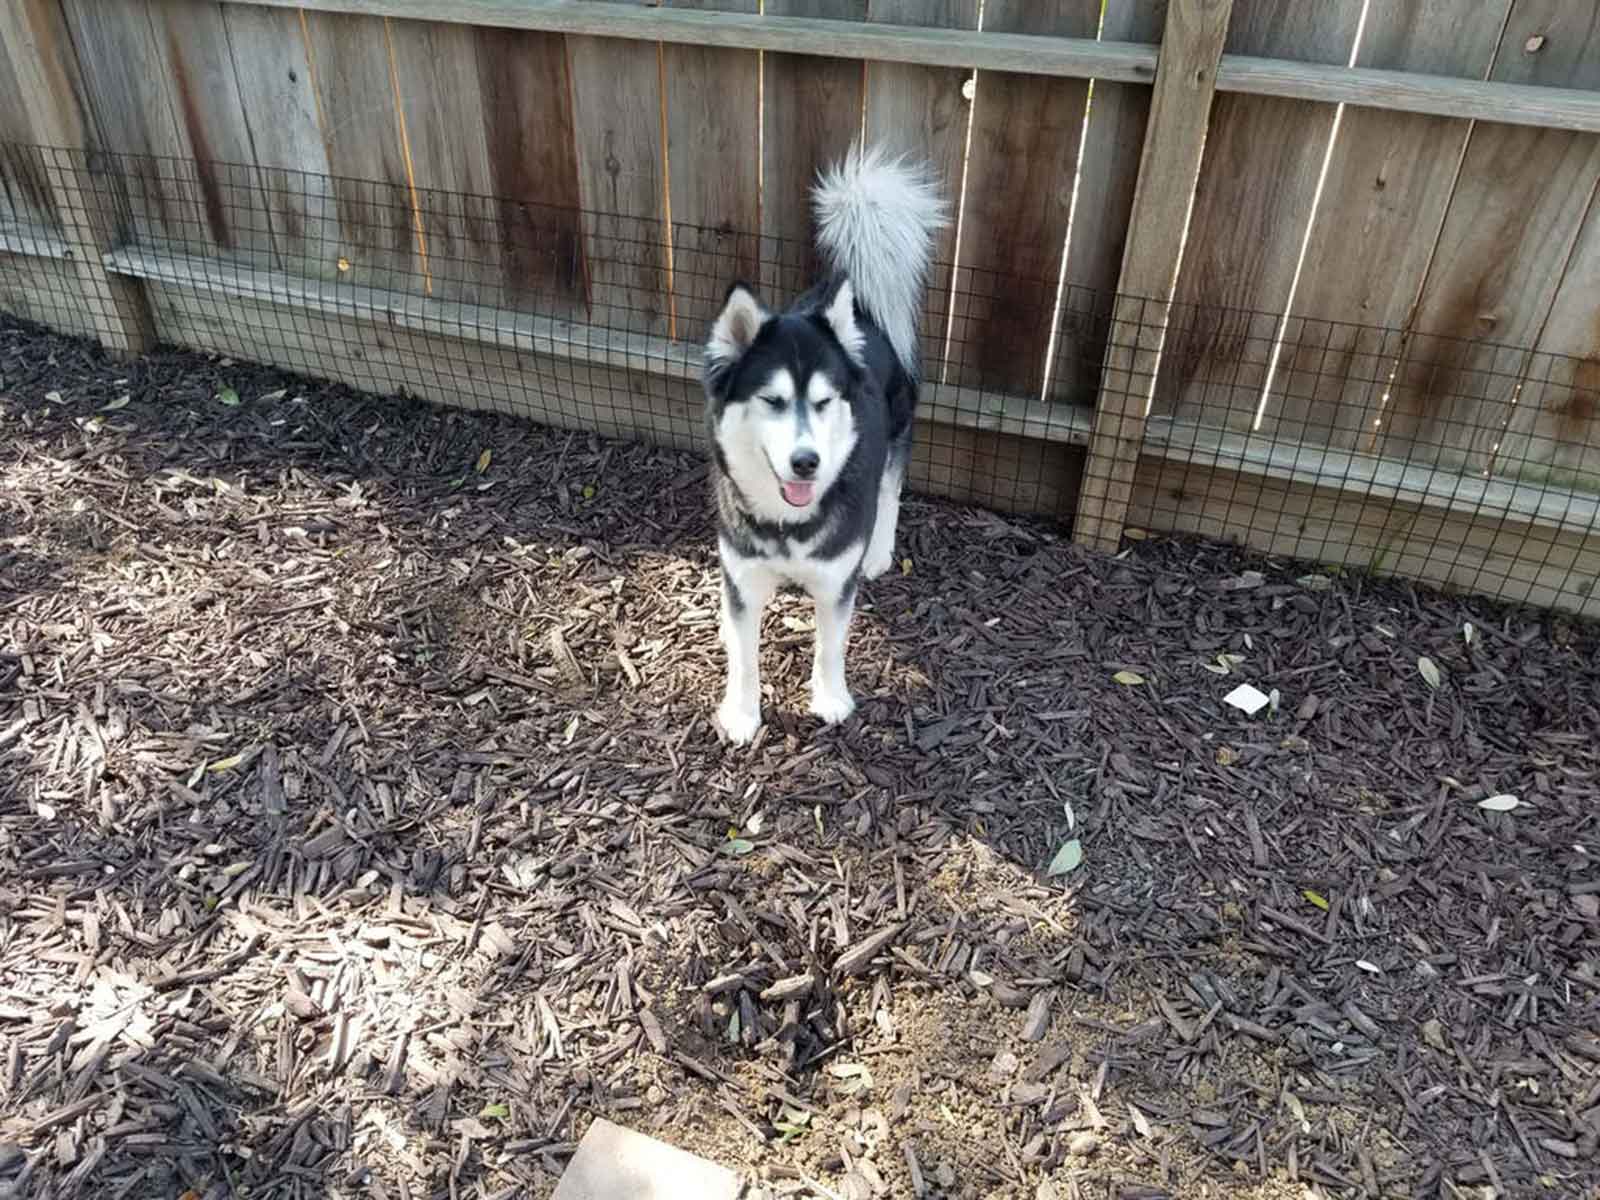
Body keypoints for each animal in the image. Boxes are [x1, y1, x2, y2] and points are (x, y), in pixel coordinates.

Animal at [704, 145, 947, 748]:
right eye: (771, 400)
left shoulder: (837, 582)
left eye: (822, 401)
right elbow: (744, 655)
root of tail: (860, 307)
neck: (787, 525)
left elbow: (831, 645)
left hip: (898, 430)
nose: (806, 462)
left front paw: (830, 699)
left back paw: (880, 548)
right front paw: (741, 712)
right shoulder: (742, 577)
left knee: (891, 490)